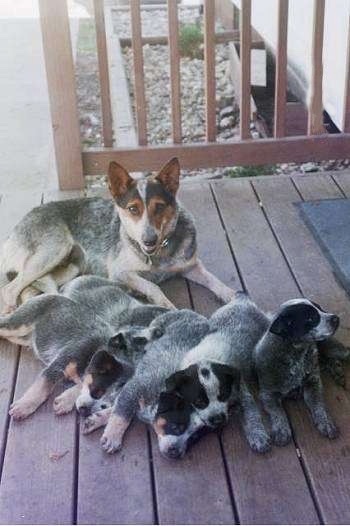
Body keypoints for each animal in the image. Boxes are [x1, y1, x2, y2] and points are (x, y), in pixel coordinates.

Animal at [0, 159, 235, 312]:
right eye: (133, 209)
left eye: (159, 207)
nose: (149, 240)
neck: (158, 255)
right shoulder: (120, 271)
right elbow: (153, 285)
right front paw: (165, 303)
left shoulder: (191, 266)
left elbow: (214, 280)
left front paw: (231, 295)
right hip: (52, 251)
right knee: (10, 290)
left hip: (69, 267)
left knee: (29, 290)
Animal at [0, 276, 167, 420]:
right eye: (97, 391)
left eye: (106, 405)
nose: (85, 412)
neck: (95, 351)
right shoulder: (61, 362)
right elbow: (43, 386)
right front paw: (24, 406)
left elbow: (80, 384)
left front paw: (65, 400)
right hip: (19, 323)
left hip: (23, 337)